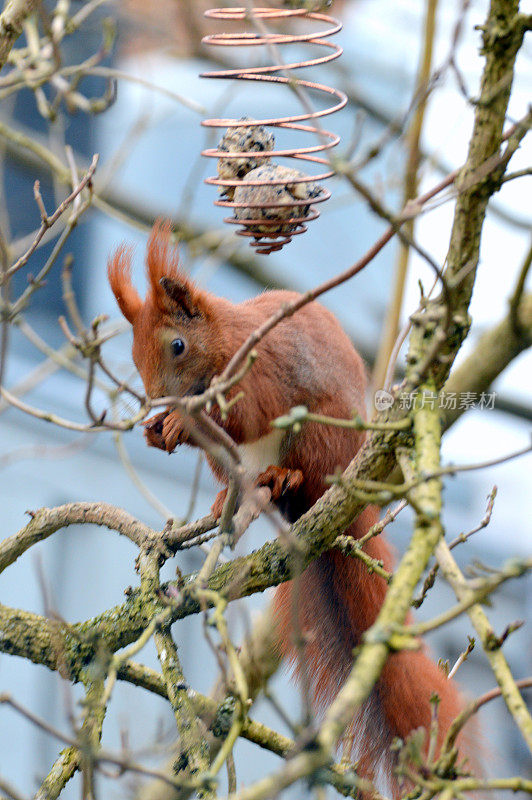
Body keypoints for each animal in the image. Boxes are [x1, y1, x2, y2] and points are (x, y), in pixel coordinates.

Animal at [109, 222, 466, 792]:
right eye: (135, 355)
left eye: (177, 345)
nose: (157, 404)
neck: (227, 343)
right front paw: (158, 431)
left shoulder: (264, 371)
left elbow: (249, 416)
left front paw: (184, 421)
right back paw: (232, 495)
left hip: (316, 433)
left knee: (298, 464)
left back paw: (283, 476)